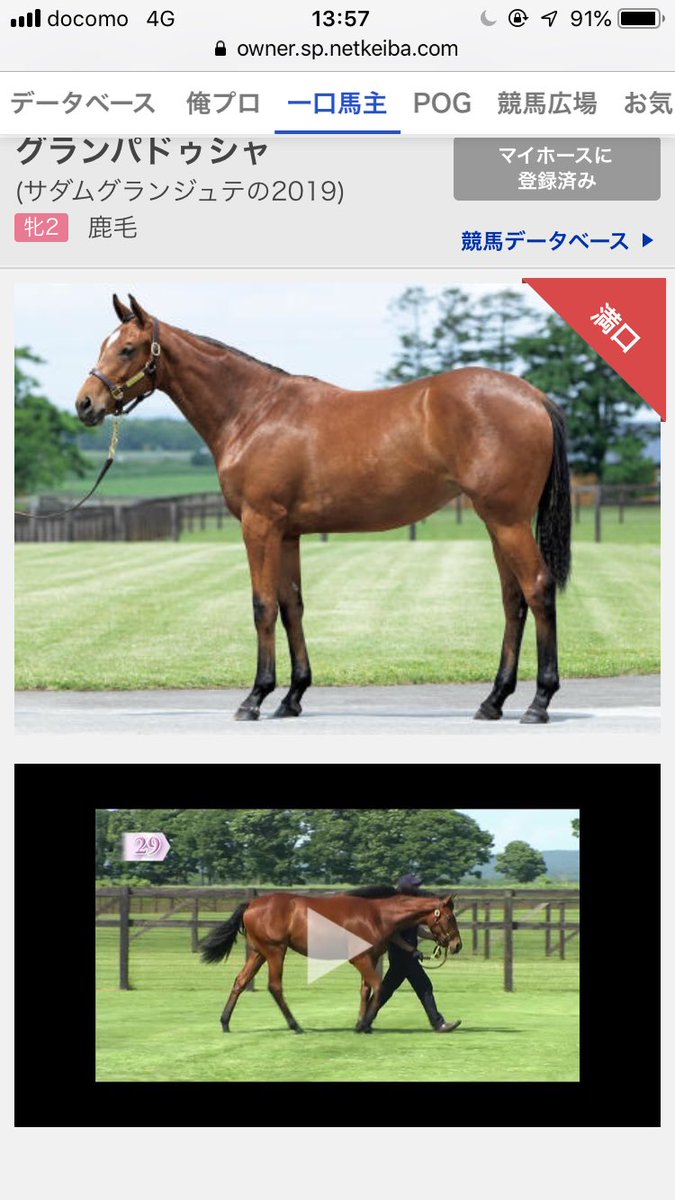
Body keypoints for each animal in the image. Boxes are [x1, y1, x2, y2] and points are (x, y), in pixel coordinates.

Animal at [75, 294, 572, 724]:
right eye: (103, 345)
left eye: (127, 348)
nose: (85, 404)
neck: (254, 412)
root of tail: (534, 396)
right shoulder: (287, 533)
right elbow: (291, 605)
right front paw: (291, 697)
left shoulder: (259, 525)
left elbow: (262, 606)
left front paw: (255, 698)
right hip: (496, 522)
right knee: (513, 600)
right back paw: (493, 700)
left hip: (507, 521)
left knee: (538, 589)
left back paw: (539, 702)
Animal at [199, 888, 462, 1033]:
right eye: (450, 917)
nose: (457, 945)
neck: (377, 915)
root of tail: (251, 904)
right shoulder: (360, 959)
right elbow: (379, 987)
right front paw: (364, 1024)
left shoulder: (370, 958)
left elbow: (366, 990)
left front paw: (361, 1023)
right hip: (275, 951)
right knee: (274, 986)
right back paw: (295, 1025)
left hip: (258, 953)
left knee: (240, 981)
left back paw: (225, 1022)